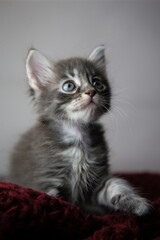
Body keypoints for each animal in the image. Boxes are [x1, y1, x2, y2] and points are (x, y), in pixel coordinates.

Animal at [8, 46, 149, 216]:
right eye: (69, 86)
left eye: (97, 83)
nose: (91, 91)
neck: (78, 136)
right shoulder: (46, 179)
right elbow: (54, 200)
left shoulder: (96, 179)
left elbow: (115, 184)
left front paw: (135, 203)